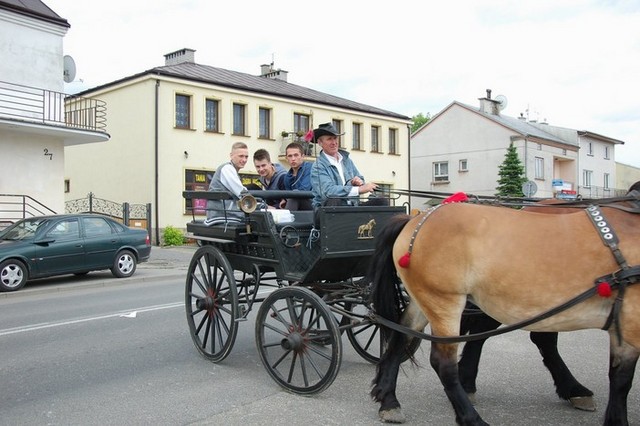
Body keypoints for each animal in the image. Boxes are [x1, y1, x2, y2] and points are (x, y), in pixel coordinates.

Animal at [369, 192, 640, 425]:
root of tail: (416, 218)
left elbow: (618, 378)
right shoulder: (630, 328)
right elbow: (621, 381)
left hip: (424, 299)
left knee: (400, 337)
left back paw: (389, 400)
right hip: (444, 301)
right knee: (443, 362)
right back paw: (472, 418)